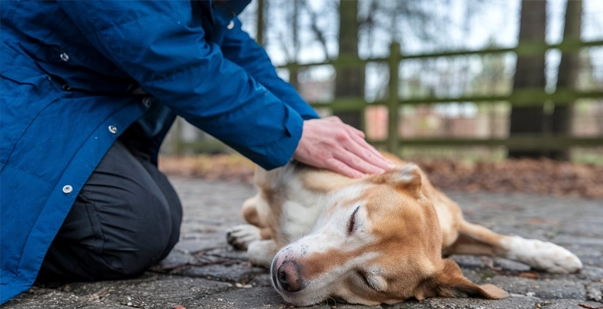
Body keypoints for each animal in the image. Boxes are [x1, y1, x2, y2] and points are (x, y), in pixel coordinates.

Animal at [224, 156, 584, 306]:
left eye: (367, 280)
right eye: (354, 219)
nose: (286, 275)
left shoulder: (454, 227)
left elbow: (502, 241)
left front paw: (552, 256)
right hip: (250, 204)